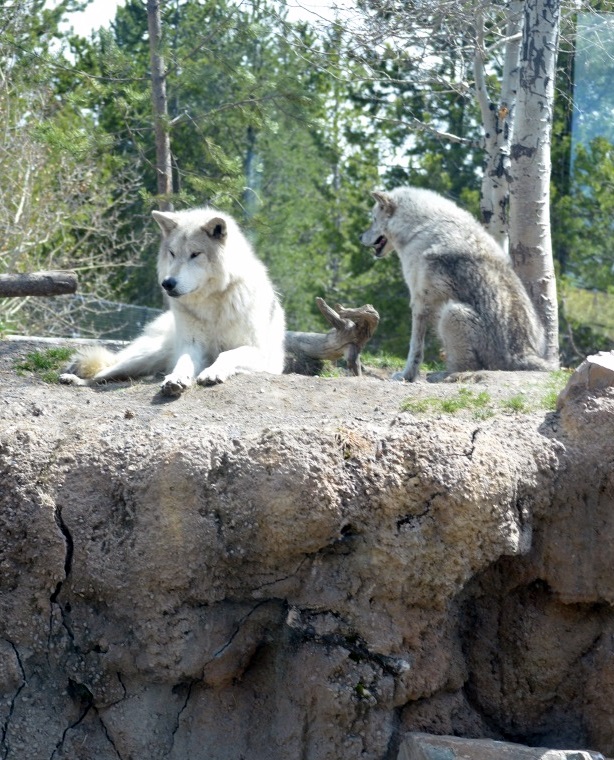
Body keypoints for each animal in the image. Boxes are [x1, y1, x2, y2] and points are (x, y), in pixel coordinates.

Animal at [60, 207, 285, 396]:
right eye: (172, 253)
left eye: (195, 254)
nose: (167, 283)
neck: (211, 304)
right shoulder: (192, 346)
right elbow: (184, 363)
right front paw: (176, 379)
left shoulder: (258, 352)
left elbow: (227, 355)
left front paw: (211, 373)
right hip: (144, 358)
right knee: (102, 374)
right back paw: (73, 380)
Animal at [361, 186, 550, 381]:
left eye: (373, 219)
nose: (361, 237)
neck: (420, 227)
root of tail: (521, 355)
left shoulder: (419, 301)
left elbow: (415, 347)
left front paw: (407, 375)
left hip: (452, 312)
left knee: (466, 368)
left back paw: (440, 375)